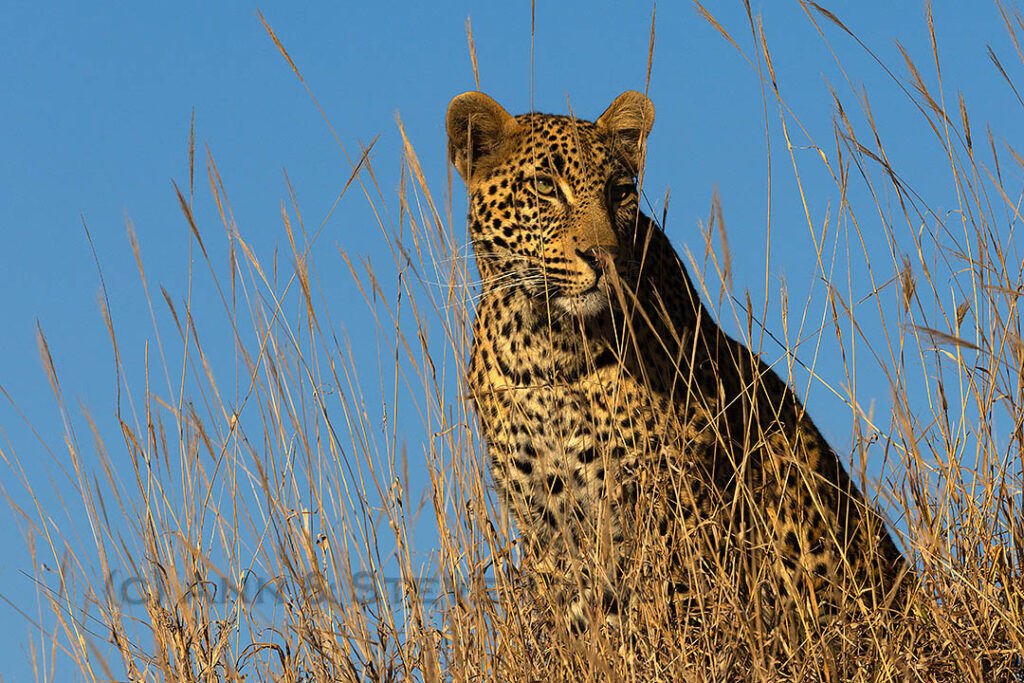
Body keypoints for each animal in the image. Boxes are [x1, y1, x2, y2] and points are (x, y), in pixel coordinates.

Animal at [446, 89, 910, 634]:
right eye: (544, 187)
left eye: (620, 193)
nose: (603, 255)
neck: (545, 346)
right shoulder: (546, 518)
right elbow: (578, 622)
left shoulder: (671, 504)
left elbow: (674, 607)